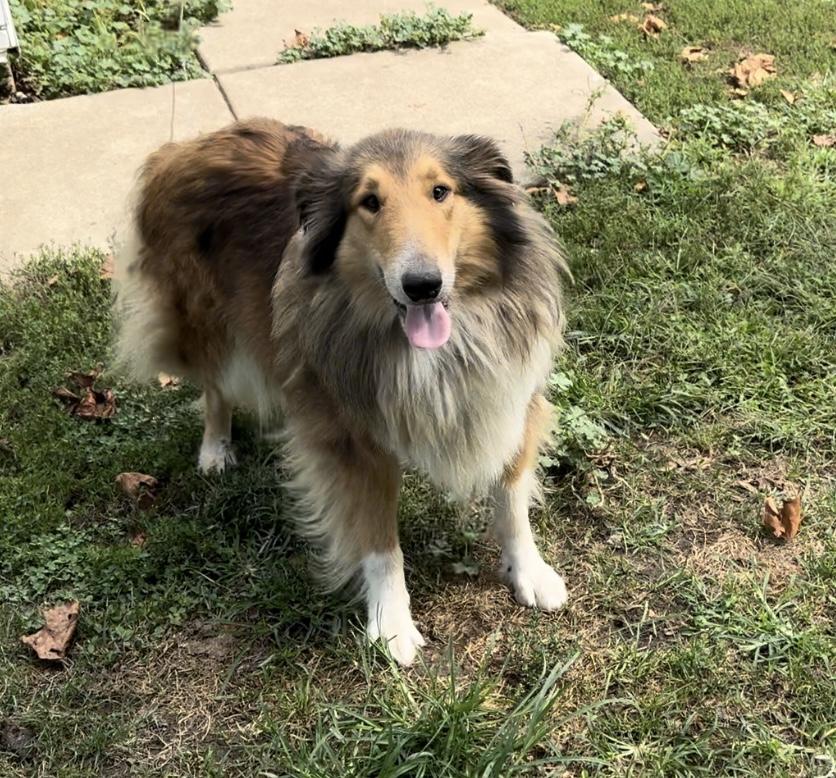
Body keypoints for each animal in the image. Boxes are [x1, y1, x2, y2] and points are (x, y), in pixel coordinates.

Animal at [114, 119, 569, 665]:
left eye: (440, 191)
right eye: (368, 202)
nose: (422, 285)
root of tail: (188, 144)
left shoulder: (509, 397)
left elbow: (512, 496)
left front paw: (530, 572)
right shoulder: (353, 445)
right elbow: (379, 540)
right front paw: (392, 624)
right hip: (206, 322)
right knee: (214, 387)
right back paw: (215, 449)